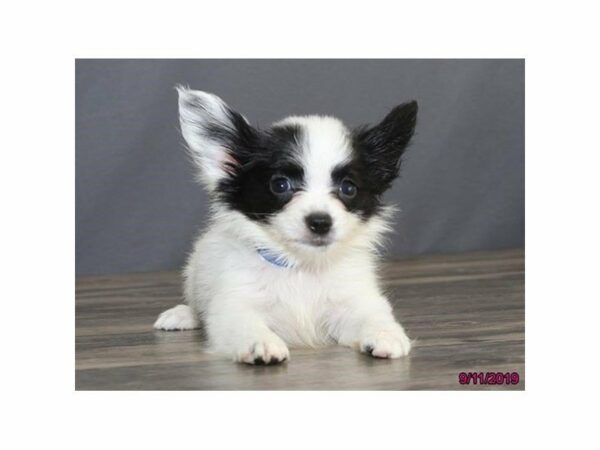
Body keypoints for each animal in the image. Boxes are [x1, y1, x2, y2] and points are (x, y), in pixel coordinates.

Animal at [155, 86, 418, 364]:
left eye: (348, 188)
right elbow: (243, 322)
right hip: (194, 273)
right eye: (280, 185)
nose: (320, 222)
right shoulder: (233, 305)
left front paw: (385, 333)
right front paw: (260, 342)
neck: (301, 266)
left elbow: (371, 313)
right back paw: (182, 314)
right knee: (196, 305)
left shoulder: (354, 299)